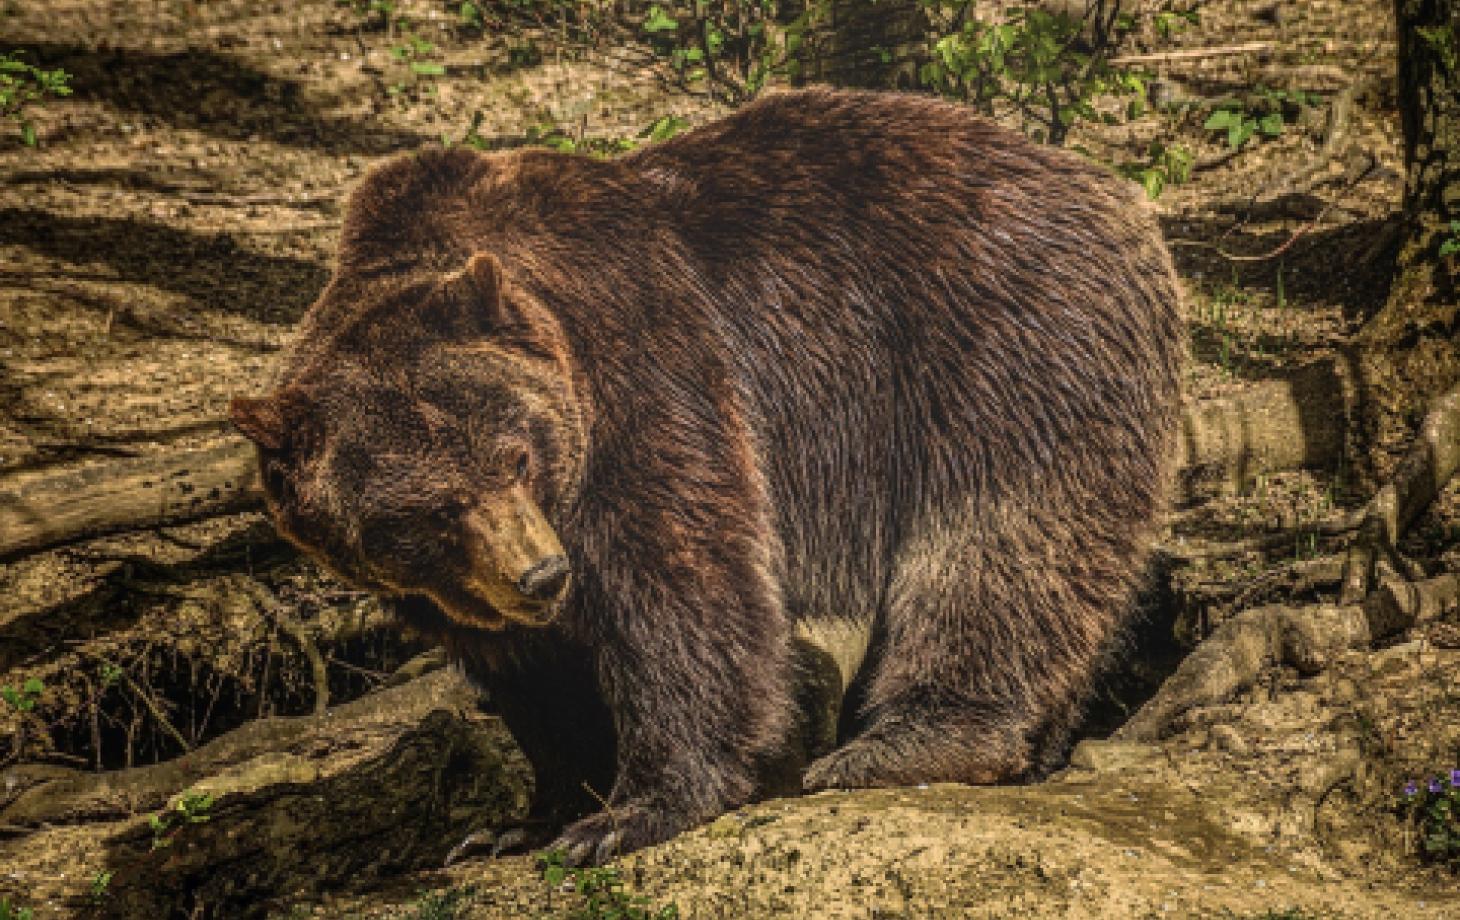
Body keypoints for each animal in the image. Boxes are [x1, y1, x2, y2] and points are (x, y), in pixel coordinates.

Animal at [227, 84, 1185, 864]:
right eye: (427, 511)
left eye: (516, 456)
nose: (543, 574)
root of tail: (1117, 193)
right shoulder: (456, 586)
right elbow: (534, 674)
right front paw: (518, 820)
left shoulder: (643, 371)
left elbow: (681, 586)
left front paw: (632, 810)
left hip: (1003, 342)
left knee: (996, 544)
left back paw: (903, 743)